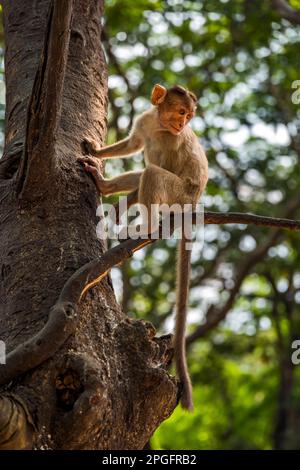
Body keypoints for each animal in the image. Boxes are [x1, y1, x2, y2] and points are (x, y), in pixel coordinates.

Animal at [79, 84, 209, 412]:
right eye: (181, 112)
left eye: (188, 117)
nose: (182, 124)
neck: (160, 124)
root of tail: (194, 206)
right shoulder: (144, 123)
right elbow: (133, 144)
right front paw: (98, 153)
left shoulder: (171, 141)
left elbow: (158, 166)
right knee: (142, 174)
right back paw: (107, 188)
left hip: (179, 196)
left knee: (152, 174)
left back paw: (145, 226)